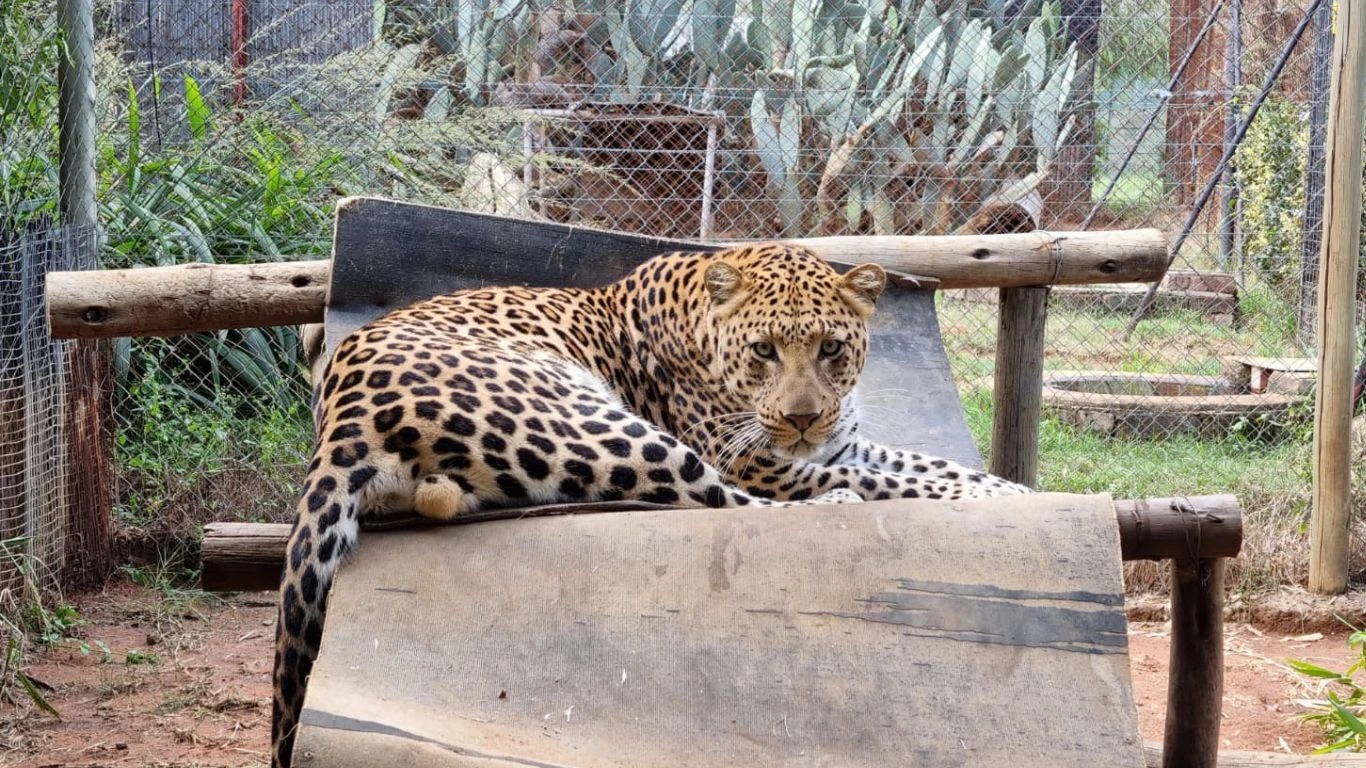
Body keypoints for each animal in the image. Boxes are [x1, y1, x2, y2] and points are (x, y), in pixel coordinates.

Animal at [271, 240, 1027, 765]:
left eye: (831, 347)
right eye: (764, 351)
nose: (803, 417)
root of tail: (338, 418)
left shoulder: (841, 441)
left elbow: (923, 463)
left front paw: (1009, 488)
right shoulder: (760, 458)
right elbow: (890, 481)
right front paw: (983, 495)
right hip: (596, 421)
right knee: (721, 501)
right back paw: (833, 505)